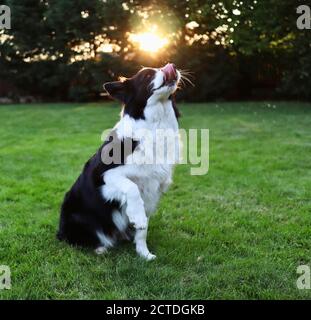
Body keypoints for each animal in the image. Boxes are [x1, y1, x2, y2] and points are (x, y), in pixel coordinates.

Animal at [57, 63, 182, 260]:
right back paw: (99, 248)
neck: (155, 124)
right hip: (75, 217)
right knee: (77, 240)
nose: (172, 66)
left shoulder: (152, 190)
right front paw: (137, 217)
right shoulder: (103, 176)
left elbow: (143, 230)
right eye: (147, 75)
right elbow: (132, 188)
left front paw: (144, 254)